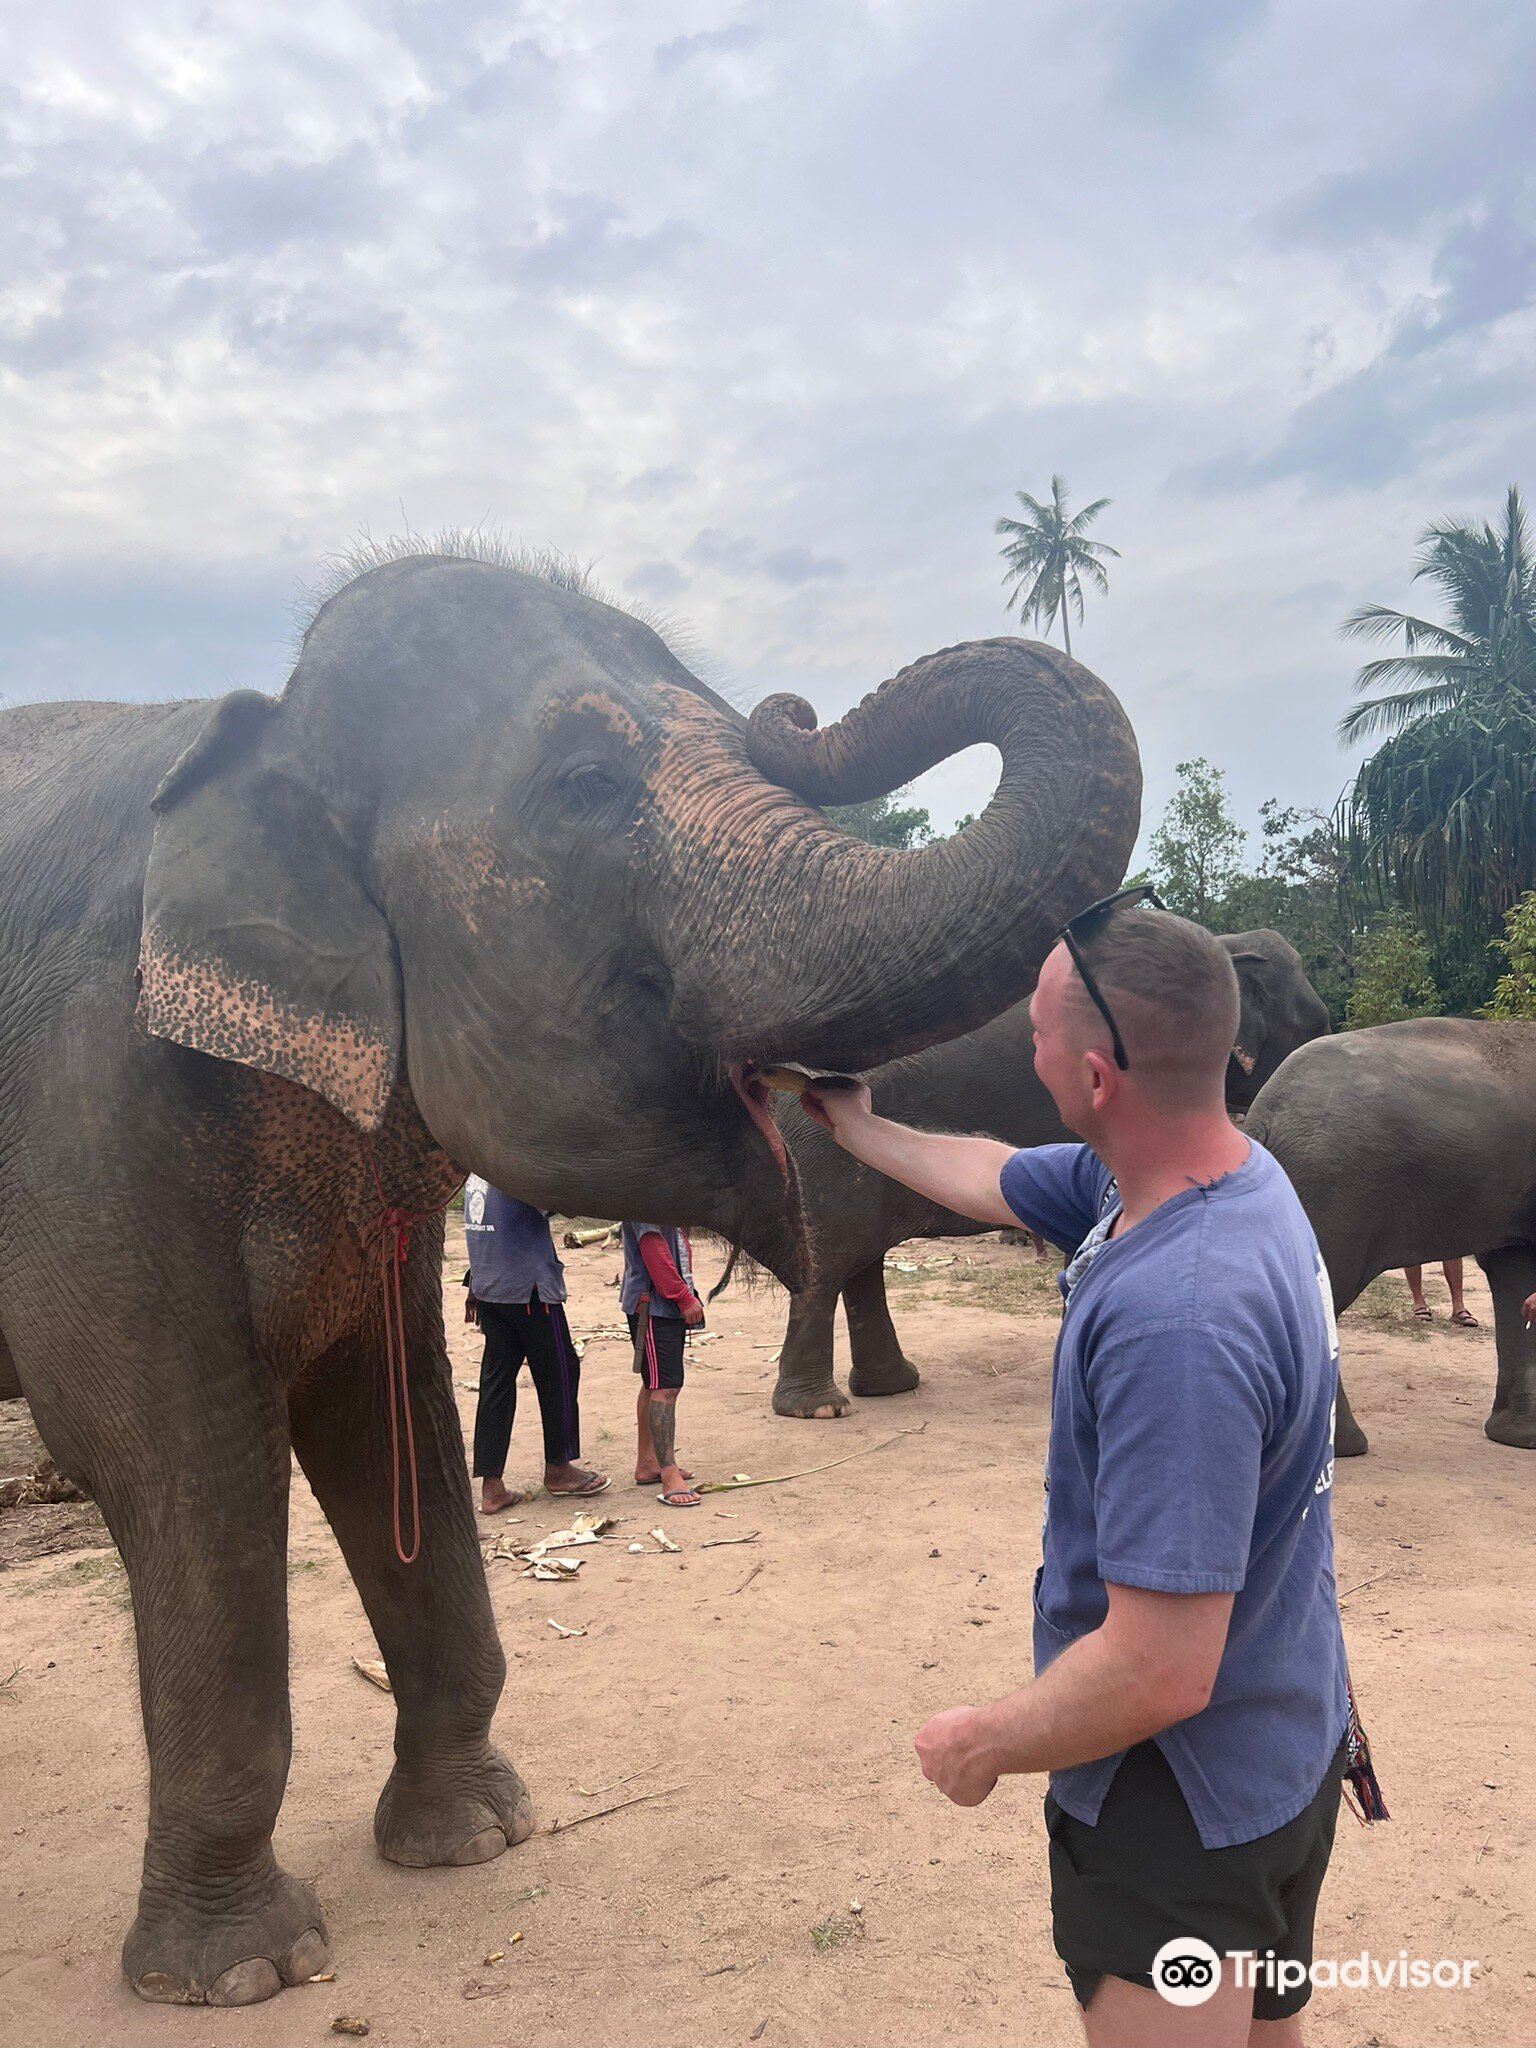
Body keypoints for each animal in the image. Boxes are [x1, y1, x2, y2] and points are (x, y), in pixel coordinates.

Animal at [0, 540, 1146, 1998]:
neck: (259, 730)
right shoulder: (84, 1113)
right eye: (587, 784)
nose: (792, 709)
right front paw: (244, 1972)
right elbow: (162, 1447)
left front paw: (476, 1837)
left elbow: (381, 1416)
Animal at [770, 933, 1335, 1425]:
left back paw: (890, 1386)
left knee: (861, 1261)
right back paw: (818, 1409)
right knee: (829, 1264)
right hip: (820, 1162)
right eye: (1316, 1020)